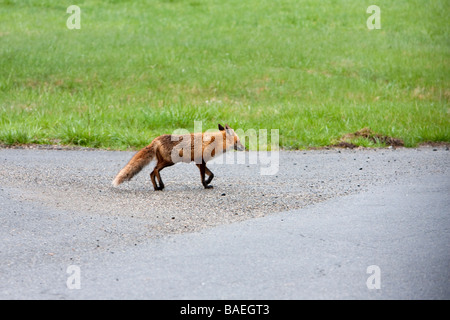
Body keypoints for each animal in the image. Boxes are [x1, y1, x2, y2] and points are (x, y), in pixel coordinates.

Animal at [112, 124, 246, 190]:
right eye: (238, 141)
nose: (244, 147)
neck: (215, 142)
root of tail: (156, 139)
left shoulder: (199, 163)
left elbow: (211, 174)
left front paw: (207, 182)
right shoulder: (201, 161)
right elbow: (205, 177)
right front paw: (206, 185)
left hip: (165, 161)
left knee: (151, 172)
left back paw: (156, 187)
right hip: (170, 161)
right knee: (155, 170)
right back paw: (161, 185)